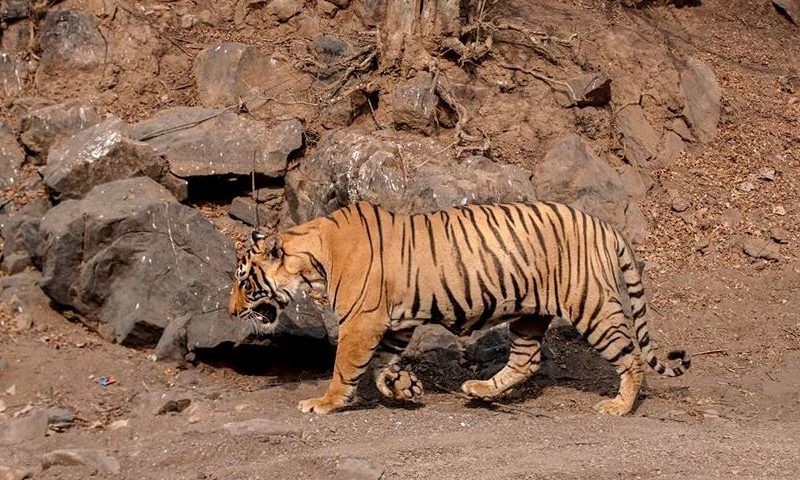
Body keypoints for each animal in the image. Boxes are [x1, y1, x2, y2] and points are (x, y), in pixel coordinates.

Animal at [229, 201, 690, 415]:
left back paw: (620, 406)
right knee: (525, 361)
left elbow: (346, 368)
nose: (232, 312)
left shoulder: (361, 322)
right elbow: (381, 365)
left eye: (244, 281)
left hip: (591, 306)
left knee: (631, 356)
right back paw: (479, 390)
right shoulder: (393, 324)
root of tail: (604, 224)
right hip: (530, 315)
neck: (314, 256)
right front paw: (405, 388)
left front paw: (324, 403)